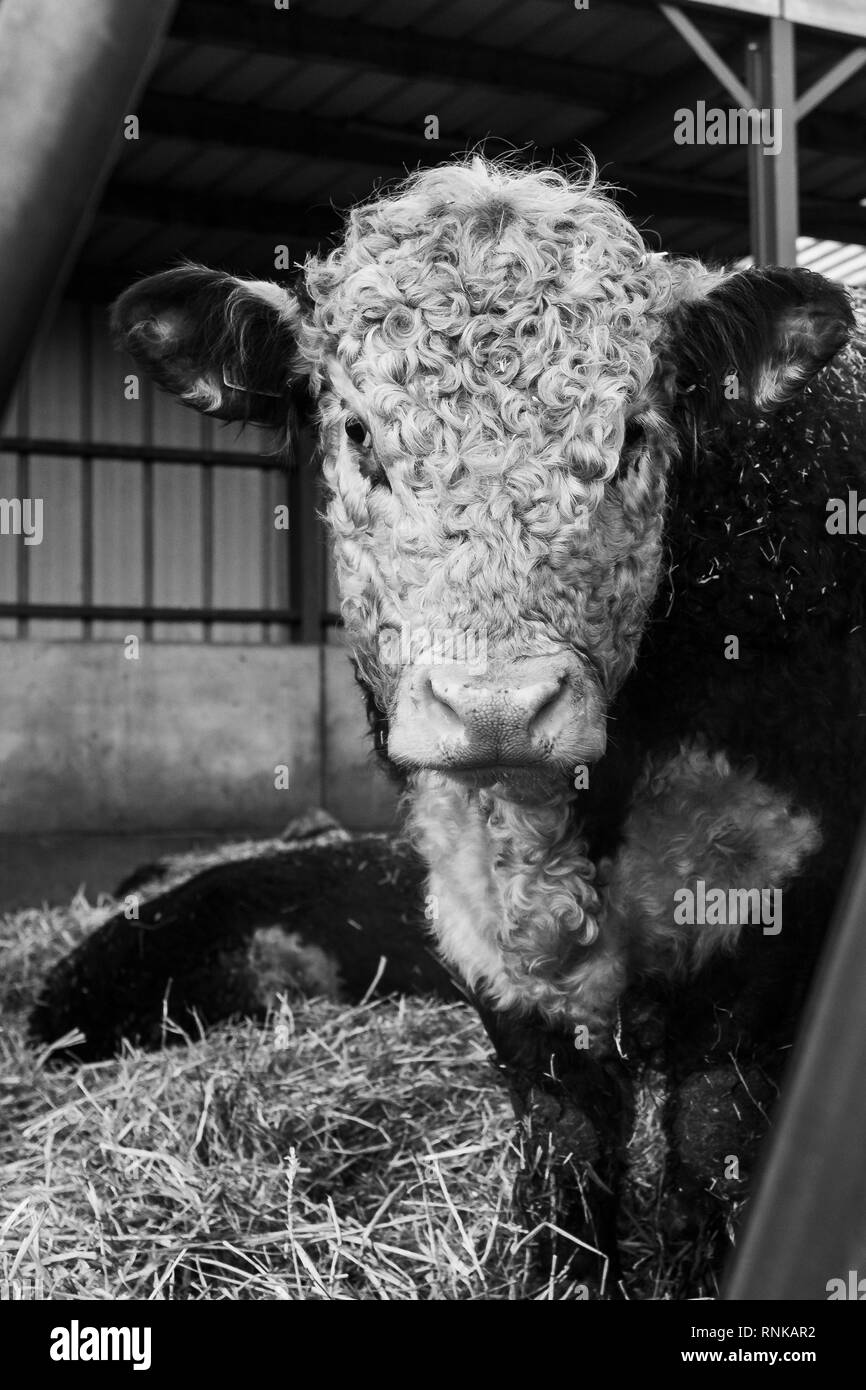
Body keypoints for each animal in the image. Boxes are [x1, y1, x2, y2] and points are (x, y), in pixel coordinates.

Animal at [109, 156, 865, 1292]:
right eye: (359, 433)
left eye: (630, 436)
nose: (498, 703)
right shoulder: (472, 907)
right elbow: (562, 1138)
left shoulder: (770, 893)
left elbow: (709, 1137)